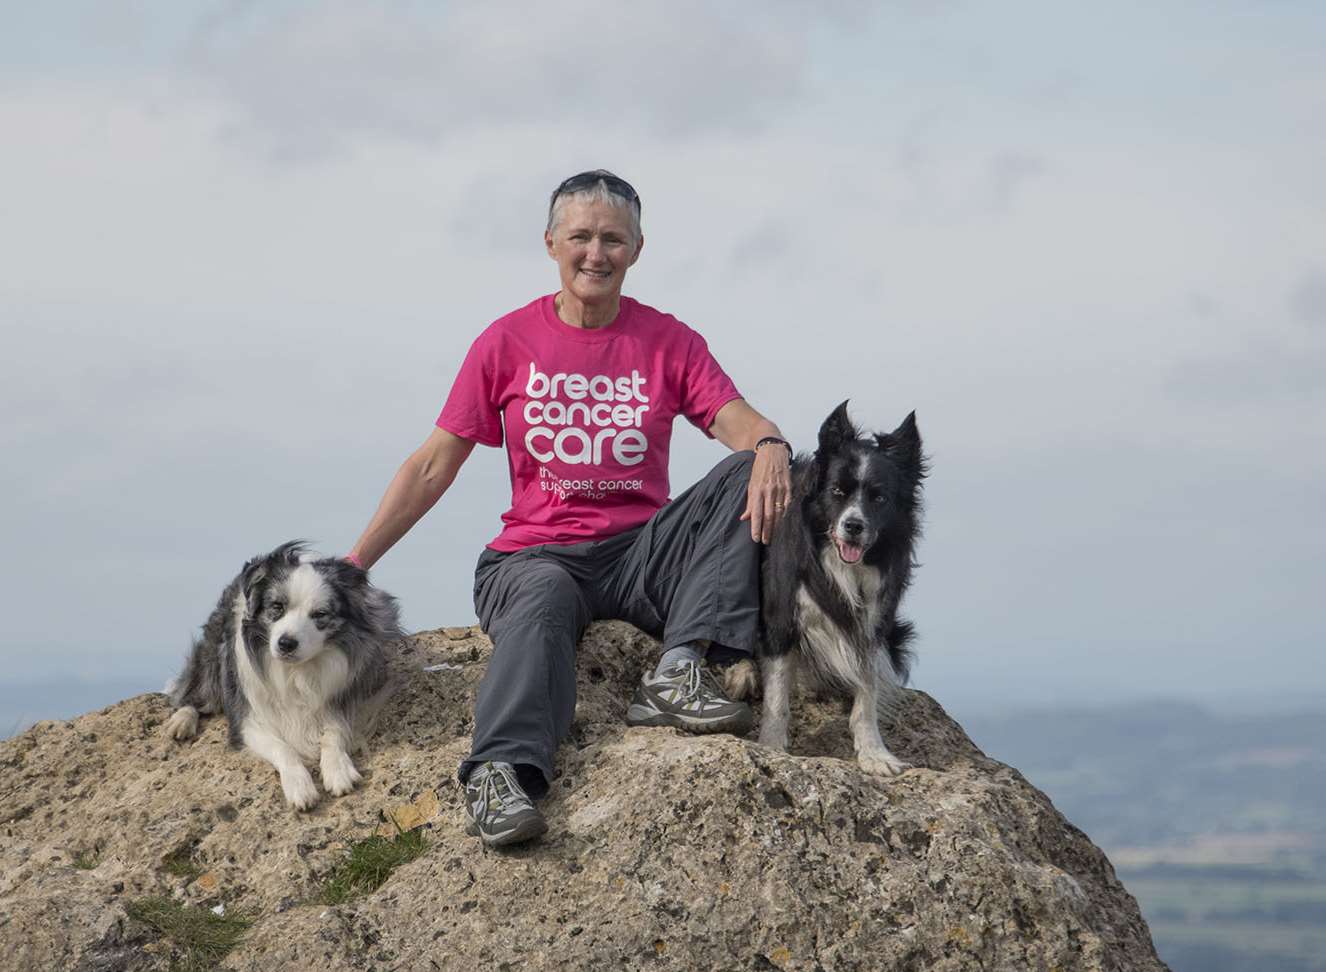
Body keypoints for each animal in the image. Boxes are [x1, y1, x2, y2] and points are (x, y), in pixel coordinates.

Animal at [162, 541, 397, 806]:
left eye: (320, 614)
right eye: (277, 607)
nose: (286, 643)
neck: (297, 672)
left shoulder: (347, 698)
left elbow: (334, 732)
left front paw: (338, 770)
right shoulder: (248, 718)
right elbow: (282, 747)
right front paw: (300, 787)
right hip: (215, 655)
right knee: (197, 690)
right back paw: (182, 720)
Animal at [726, 400, 922, 774]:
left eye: (879, 498)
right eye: (837, 491)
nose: (854, 526)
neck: (843, 566)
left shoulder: (873, 623)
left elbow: (867, 691)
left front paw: (875, 754)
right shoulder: (781, 613)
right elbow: (777, 695)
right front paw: (771, 745)